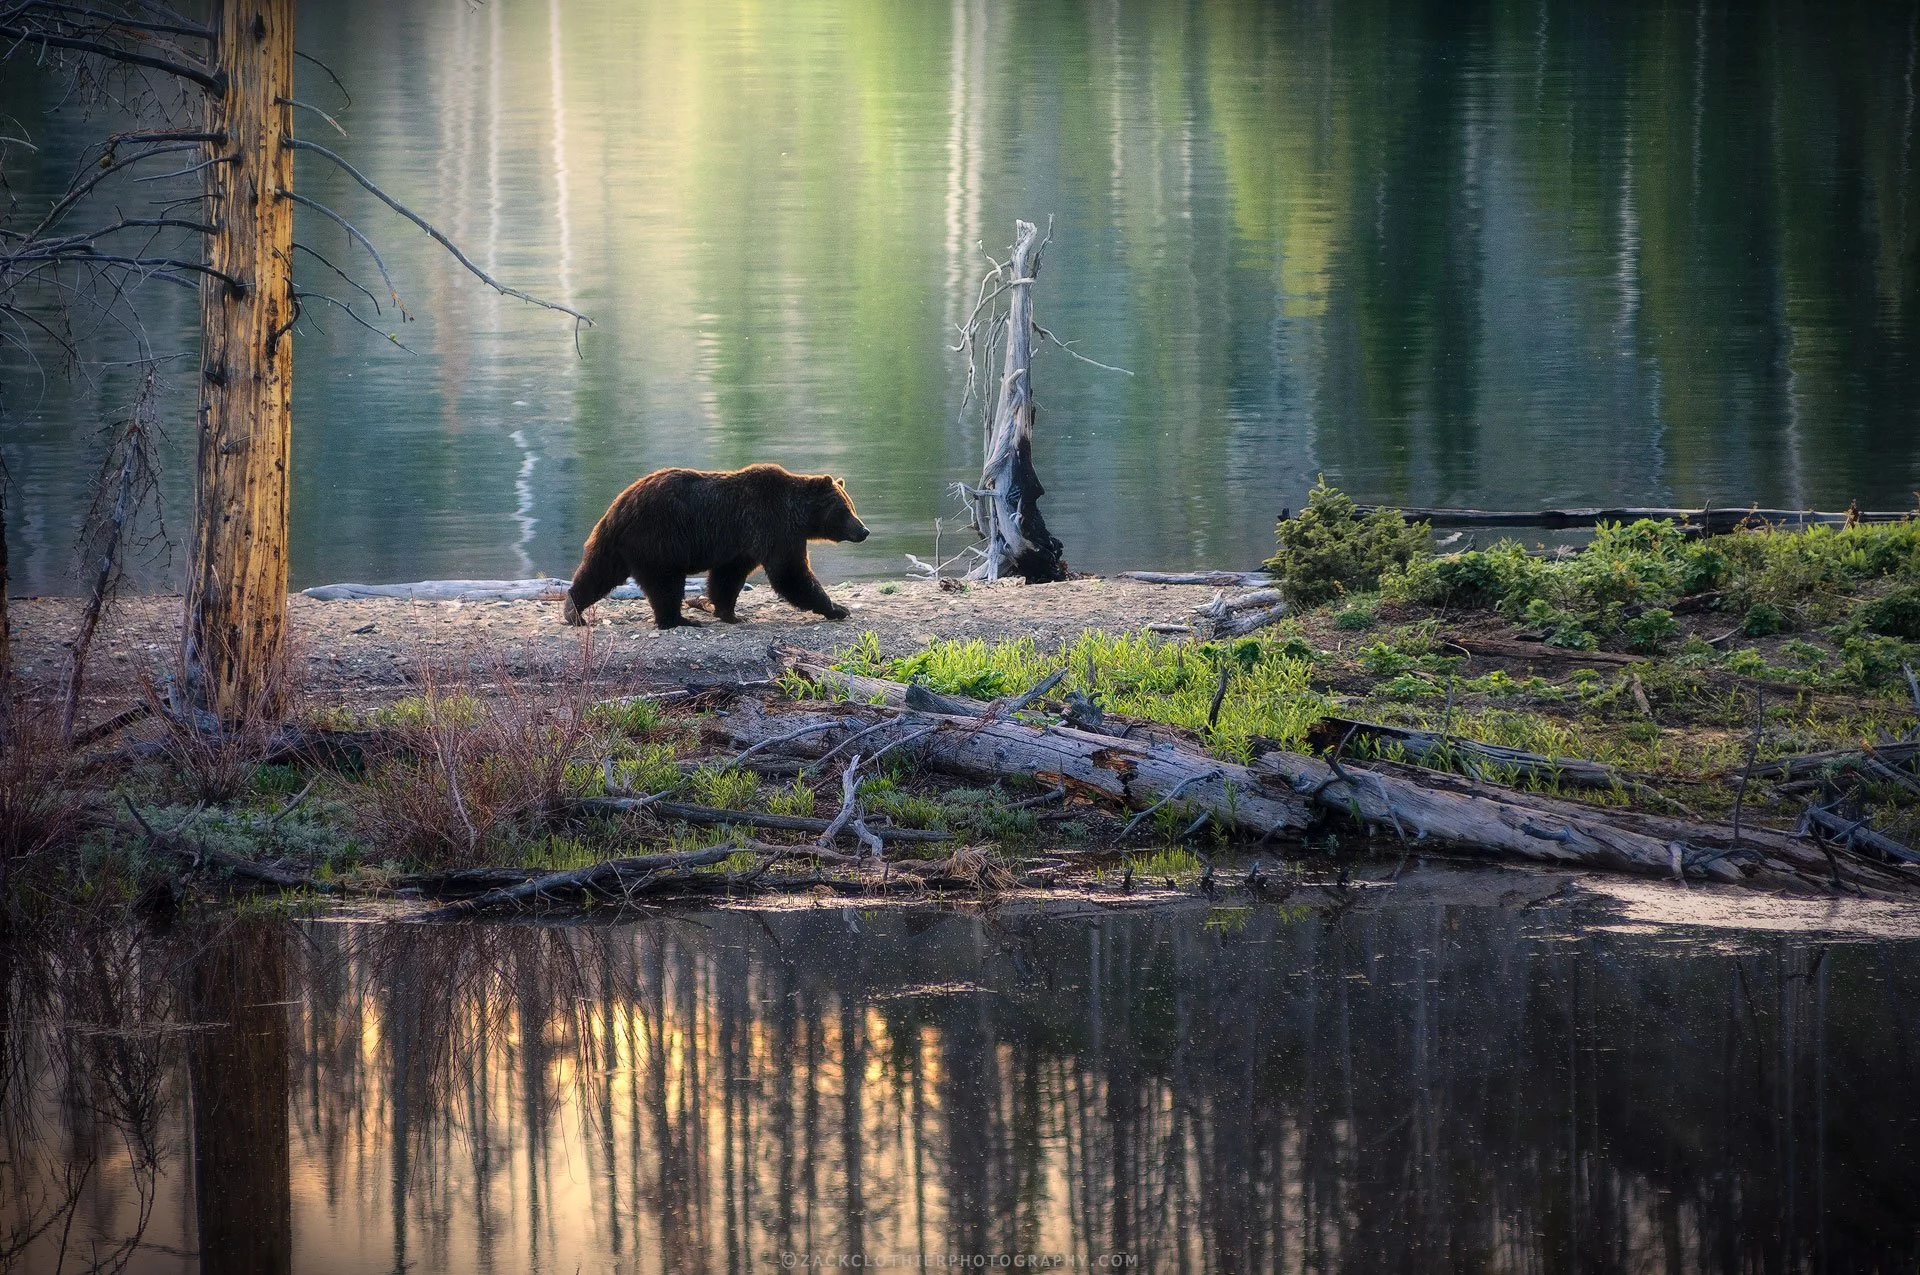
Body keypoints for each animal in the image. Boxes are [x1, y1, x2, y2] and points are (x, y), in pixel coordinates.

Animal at [562, 463, 869, 629]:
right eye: (846, 509)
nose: (864, 530)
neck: (799, 516)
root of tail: (620, 506)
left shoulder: (742, 543)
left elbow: (727, 577)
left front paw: (729, 613)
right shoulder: (772, 527)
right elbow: (790, 574)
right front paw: (837, 608)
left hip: (617, 545)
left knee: (597, 573)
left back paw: (573, 611)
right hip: (659, 538)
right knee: (665, 584)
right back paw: (679, 619)